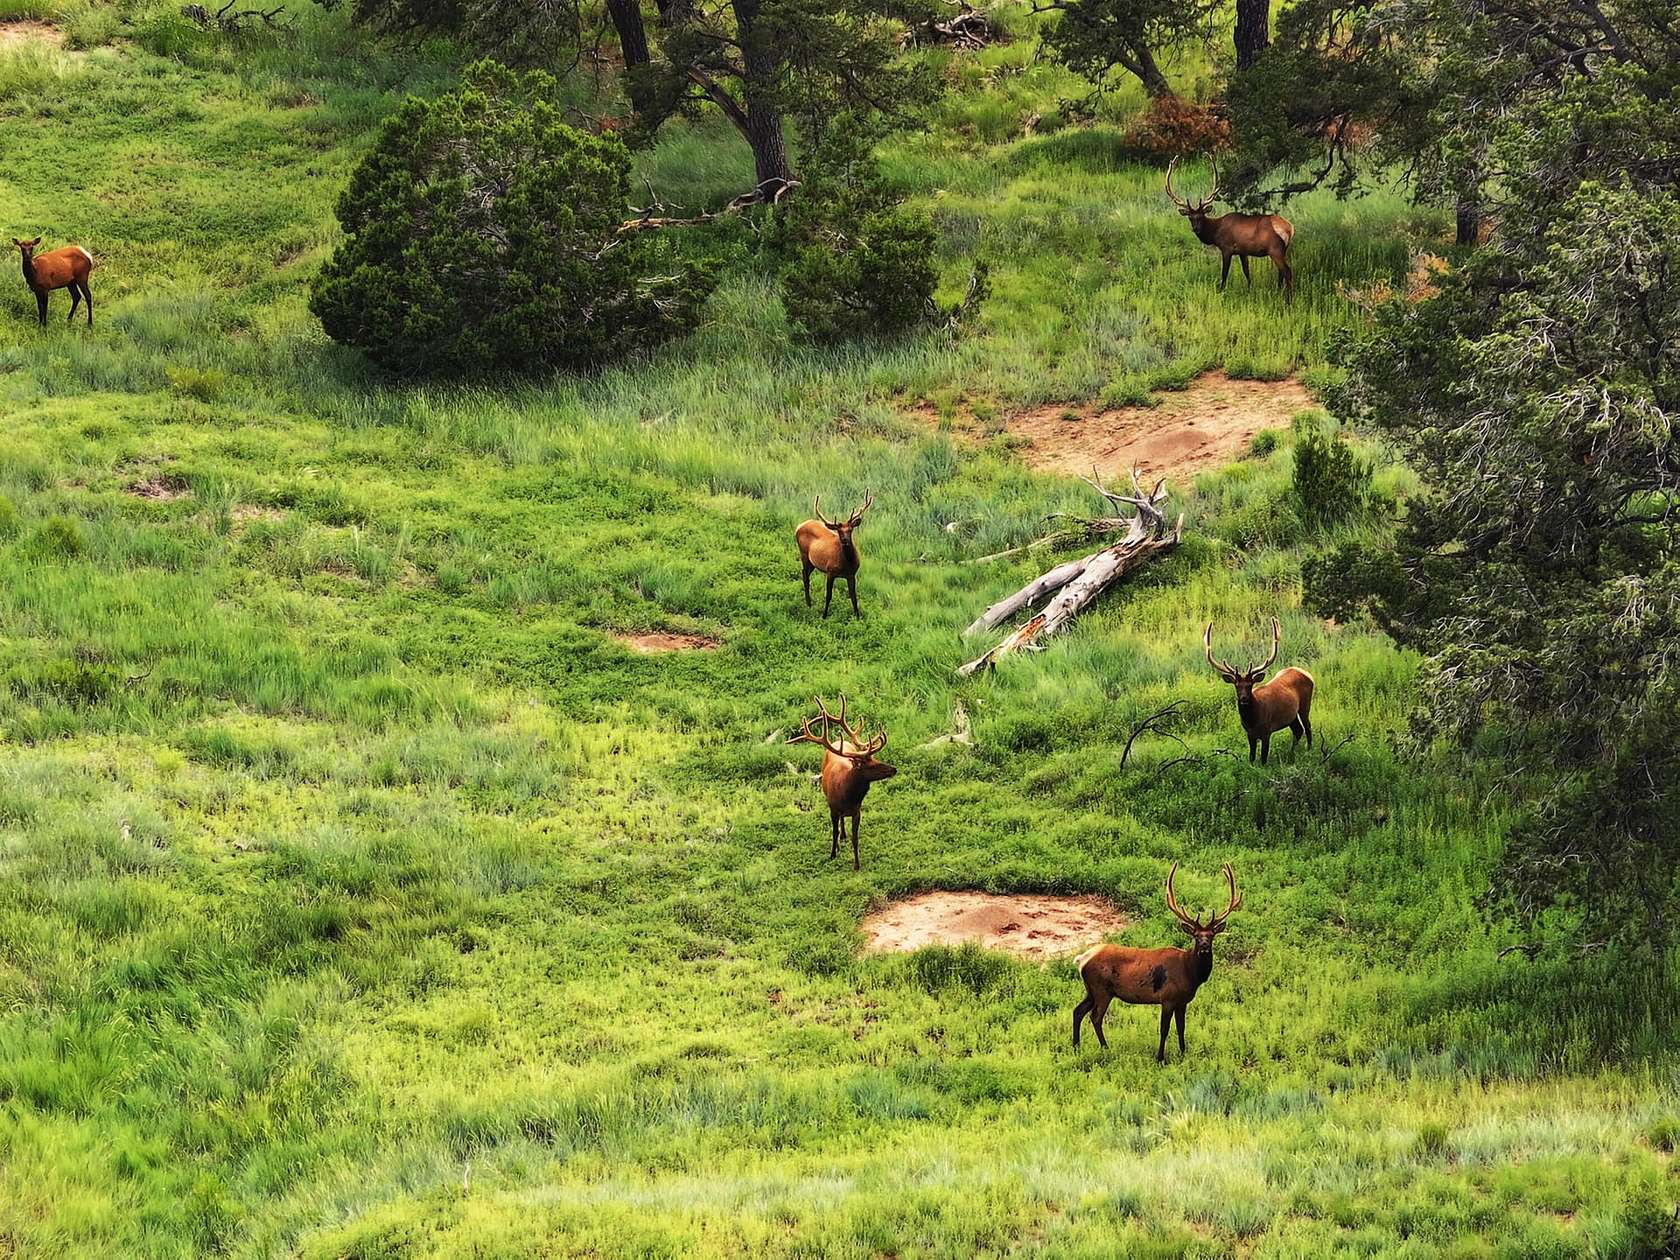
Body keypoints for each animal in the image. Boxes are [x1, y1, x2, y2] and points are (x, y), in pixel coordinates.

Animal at [782, 695, 893, 873]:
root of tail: (836, 742)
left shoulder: (857, 811)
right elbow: (833, 832)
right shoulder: (832, 808)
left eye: (876, 759)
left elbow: (855, 838)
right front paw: (833, 854)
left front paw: (856, 864)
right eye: (872, 765)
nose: (894, 769)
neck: (848, 795)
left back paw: (844, 836)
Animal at [799, 490, 880, 618]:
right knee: (806, 577)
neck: (846, 564)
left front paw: (857, 617)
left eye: (850, 529)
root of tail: (799, 526)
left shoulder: (852, 574)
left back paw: (809, 602)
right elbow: (828, 596)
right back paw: (809, 604)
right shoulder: (830, 572)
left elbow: (854, 597)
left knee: (804, 574)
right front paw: (824, 616)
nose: (845, 540)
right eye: (839, 531)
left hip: (812, 562)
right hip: (804, 554)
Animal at [1068, 866, 1243, 1061]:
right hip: (1101, 989)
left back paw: (1076, 1047)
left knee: (1078, 1011)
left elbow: (1181, 1028)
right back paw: (1105, 1048)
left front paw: (1183, 1053)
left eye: (1211, 935)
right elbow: (1164, 1029)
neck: (1190, 973)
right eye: (1196, 935)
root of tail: (1083, 959)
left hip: (1091, 990)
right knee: (1095, 1017)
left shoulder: (1182, 1001)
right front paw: (1160, 1058)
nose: (1204, 946)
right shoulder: (1167, 998)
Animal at [1169, 157, 1296, 302]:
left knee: (1287, 271)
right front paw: (1249, 290)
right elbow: (1246, 271)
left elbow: (1224, 274)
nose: (1196, 229)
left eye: (1201, 216)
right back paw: (1278, 291)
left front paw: (1221, 292)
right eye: (1190, 217)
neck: (1215, 232)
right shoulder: (1242, 251)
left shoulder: (1227, 248)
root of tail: (1290, 228)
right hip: (1283, 250)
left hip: (1275, 249)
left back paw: (1289, 299)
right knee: (1281, 272)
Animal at [1209, 618, 1310, 766]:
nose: (1244, 699)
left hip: (1305, 704)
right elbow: (1251, 757)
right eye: (1236, 685)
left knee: (1307, 727)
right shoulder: (1249, 734)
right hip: (1291, 715)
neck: (1252, 720)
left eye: (1250, 685)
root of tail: (1305, 672)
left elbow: (1263, 758)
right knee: (1298, 730)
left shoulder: (1267, 731)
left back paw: (1309, 750)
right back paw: (1292, 754)